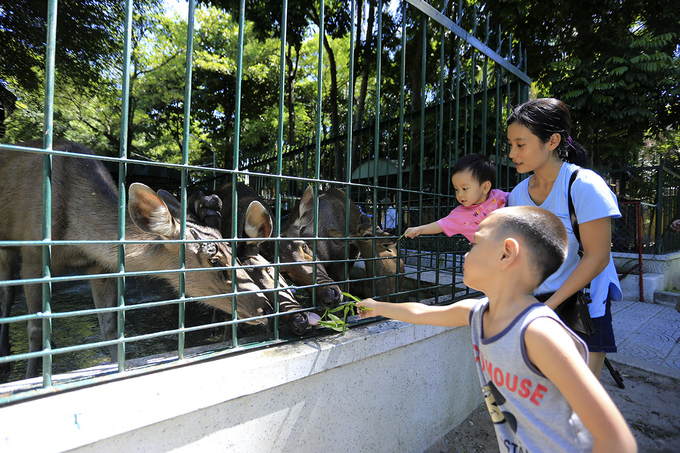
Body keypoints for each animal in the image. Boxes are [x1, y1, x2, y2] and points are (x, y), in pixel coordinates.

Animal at [1, 139, 274, 376]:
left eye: (232, 251)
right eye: (213, 260)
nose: (264, 306)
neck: (76, 236)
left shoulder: (101, 266)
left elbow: (110, 328)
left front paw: (119, 368)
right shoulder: (33, 255)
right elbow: (35, 328)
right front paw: (30, 377)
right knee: (8, 295)